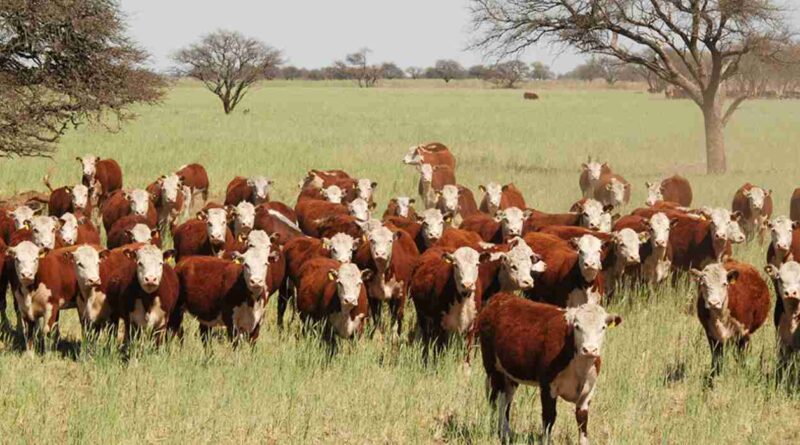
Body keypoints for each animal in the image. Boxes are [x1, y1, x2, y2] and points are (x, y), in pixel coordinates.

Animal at [478, 294, 620, 442]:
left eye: (603, 327)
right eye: (577, 326)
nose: (590, 349)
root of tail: (501, 297)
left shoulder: (588, 391)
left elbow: (582, 420)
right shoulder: (547, 385)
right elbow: (549, 417)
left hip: (511, 374)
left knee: (506, 400)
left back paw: (506, 432)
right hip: (493, 368)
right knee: (497, 400)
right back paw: (499, 432)